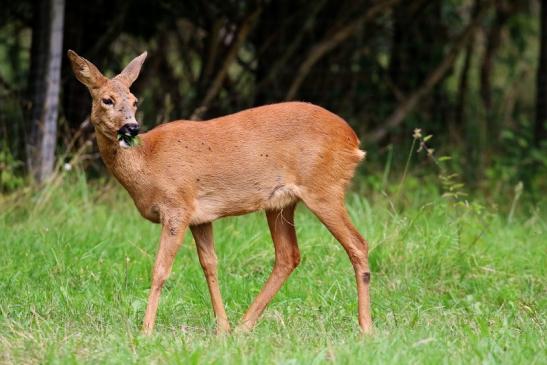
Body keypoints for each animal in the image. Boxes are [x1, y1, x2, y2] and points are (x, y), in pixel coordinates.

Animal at [65, 49, 372, 334]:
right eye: (107, 100)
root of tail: (353, 140)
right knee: (288, 255)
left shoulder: (177, 206)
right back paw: (243, 326)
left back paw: (366, 327)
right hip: (281, 203)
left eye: (134, 101)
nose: (131, 126)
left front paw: (146, 330)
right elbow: (209, 264)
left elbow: (160, 269)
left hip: (324, 188)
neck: (147, 164)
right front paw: (222, 327)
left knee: (357, 244)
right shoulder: (201, 217)